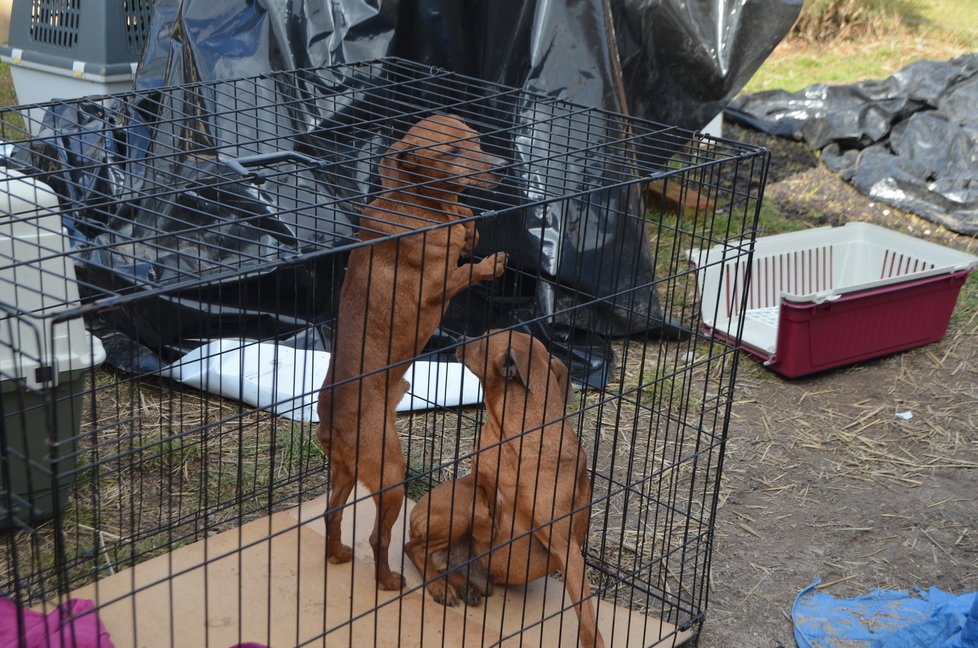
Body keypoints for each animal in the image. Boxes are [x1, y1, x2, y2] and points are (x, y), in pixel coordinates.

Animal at [316, 114, 508, 588]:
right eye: (452, 151)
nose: (503, 168)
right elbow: (466, 268)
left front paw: (468, 226)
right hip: (391, 476)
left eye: (477, 141)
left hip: (348, 471)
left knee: (332, 514)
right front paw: (487, 261)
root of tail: (329, 424)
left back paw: (338, 555)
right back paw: (388, 580)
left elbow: (466, 220)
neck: (420, 207)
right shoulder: (436, 288)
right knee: (379, 538)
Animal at [402, 332, 604, 644]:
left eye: (484, 340)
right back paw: (440, 587)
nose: (460, 339)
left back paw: (462, 585)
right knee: (413, 548)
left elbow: (587, 615)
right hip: (454, 515)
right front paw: (489, 521)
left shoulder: (565, 545)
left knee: (432, 557)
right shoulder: (478, 485)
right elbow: (484, 501)